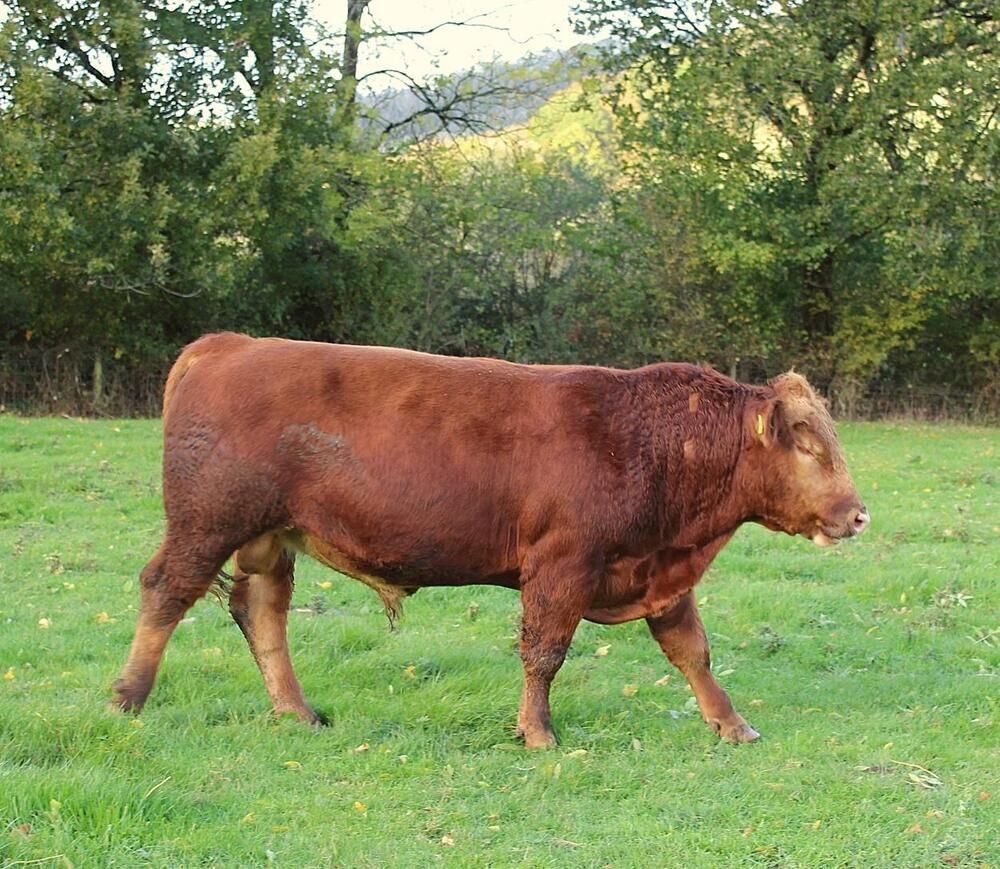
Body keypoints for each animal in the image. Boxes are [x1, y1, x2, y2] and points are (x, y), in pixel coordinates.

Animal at [111, 332, 869, 747]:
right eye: (807, 445)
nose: (859, 514)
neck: (648, 437)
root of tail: (230, 344)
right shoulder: (563, 566)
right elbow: (545, 652)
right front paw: (538, 731)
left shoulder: (656, 569)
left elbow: (692, 651)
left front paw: (731, 723)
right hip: (208, 523)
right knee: (167, 591)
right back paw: (128, 697)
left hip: (271, 537)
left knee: (261, 612)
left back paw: (296, 711)